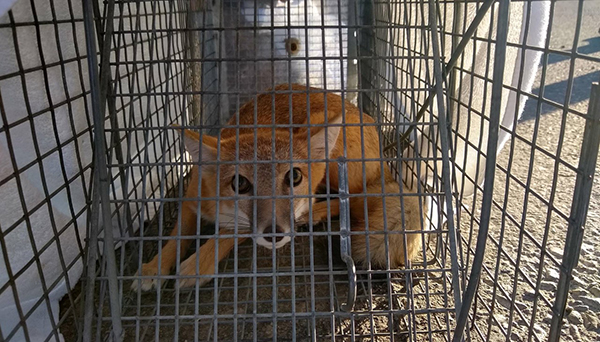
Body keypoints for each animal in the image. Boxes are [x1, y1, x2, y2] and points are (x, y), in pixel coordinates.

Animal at [131, 84, 422, 290]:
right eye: (240, 183)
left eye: (293, 177)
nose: (275, 234)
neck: (221, 209)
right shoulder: (192, 202)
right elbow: (173, 239)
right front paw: (154, 268)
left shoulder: (242, 227)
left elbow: (224, 235)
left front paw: (197, 265)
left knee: (348, 197)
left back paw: (312, 213)